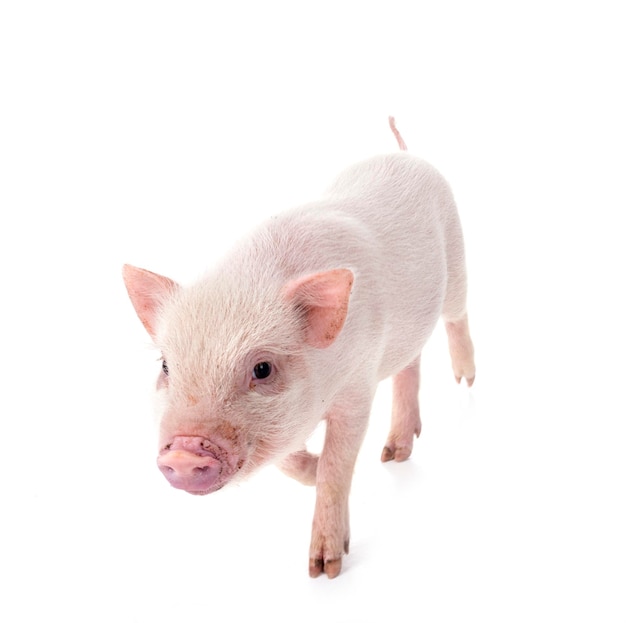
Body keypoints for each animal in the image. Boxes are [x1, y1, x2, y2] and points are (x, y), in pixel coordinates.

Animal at [122, 118, 472, 580]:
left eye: (263, 369)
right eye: (166, 367)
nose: (182, 451)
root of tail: (405, 155)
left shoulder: (358, 388)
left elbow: (339, 466)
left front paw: (324, 569)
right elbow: (287, 456)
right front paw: (315, 465)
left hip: (458, 258)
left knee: (457, 316)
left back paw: (466, 380)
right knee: (409, 364)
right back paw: (394, 454)